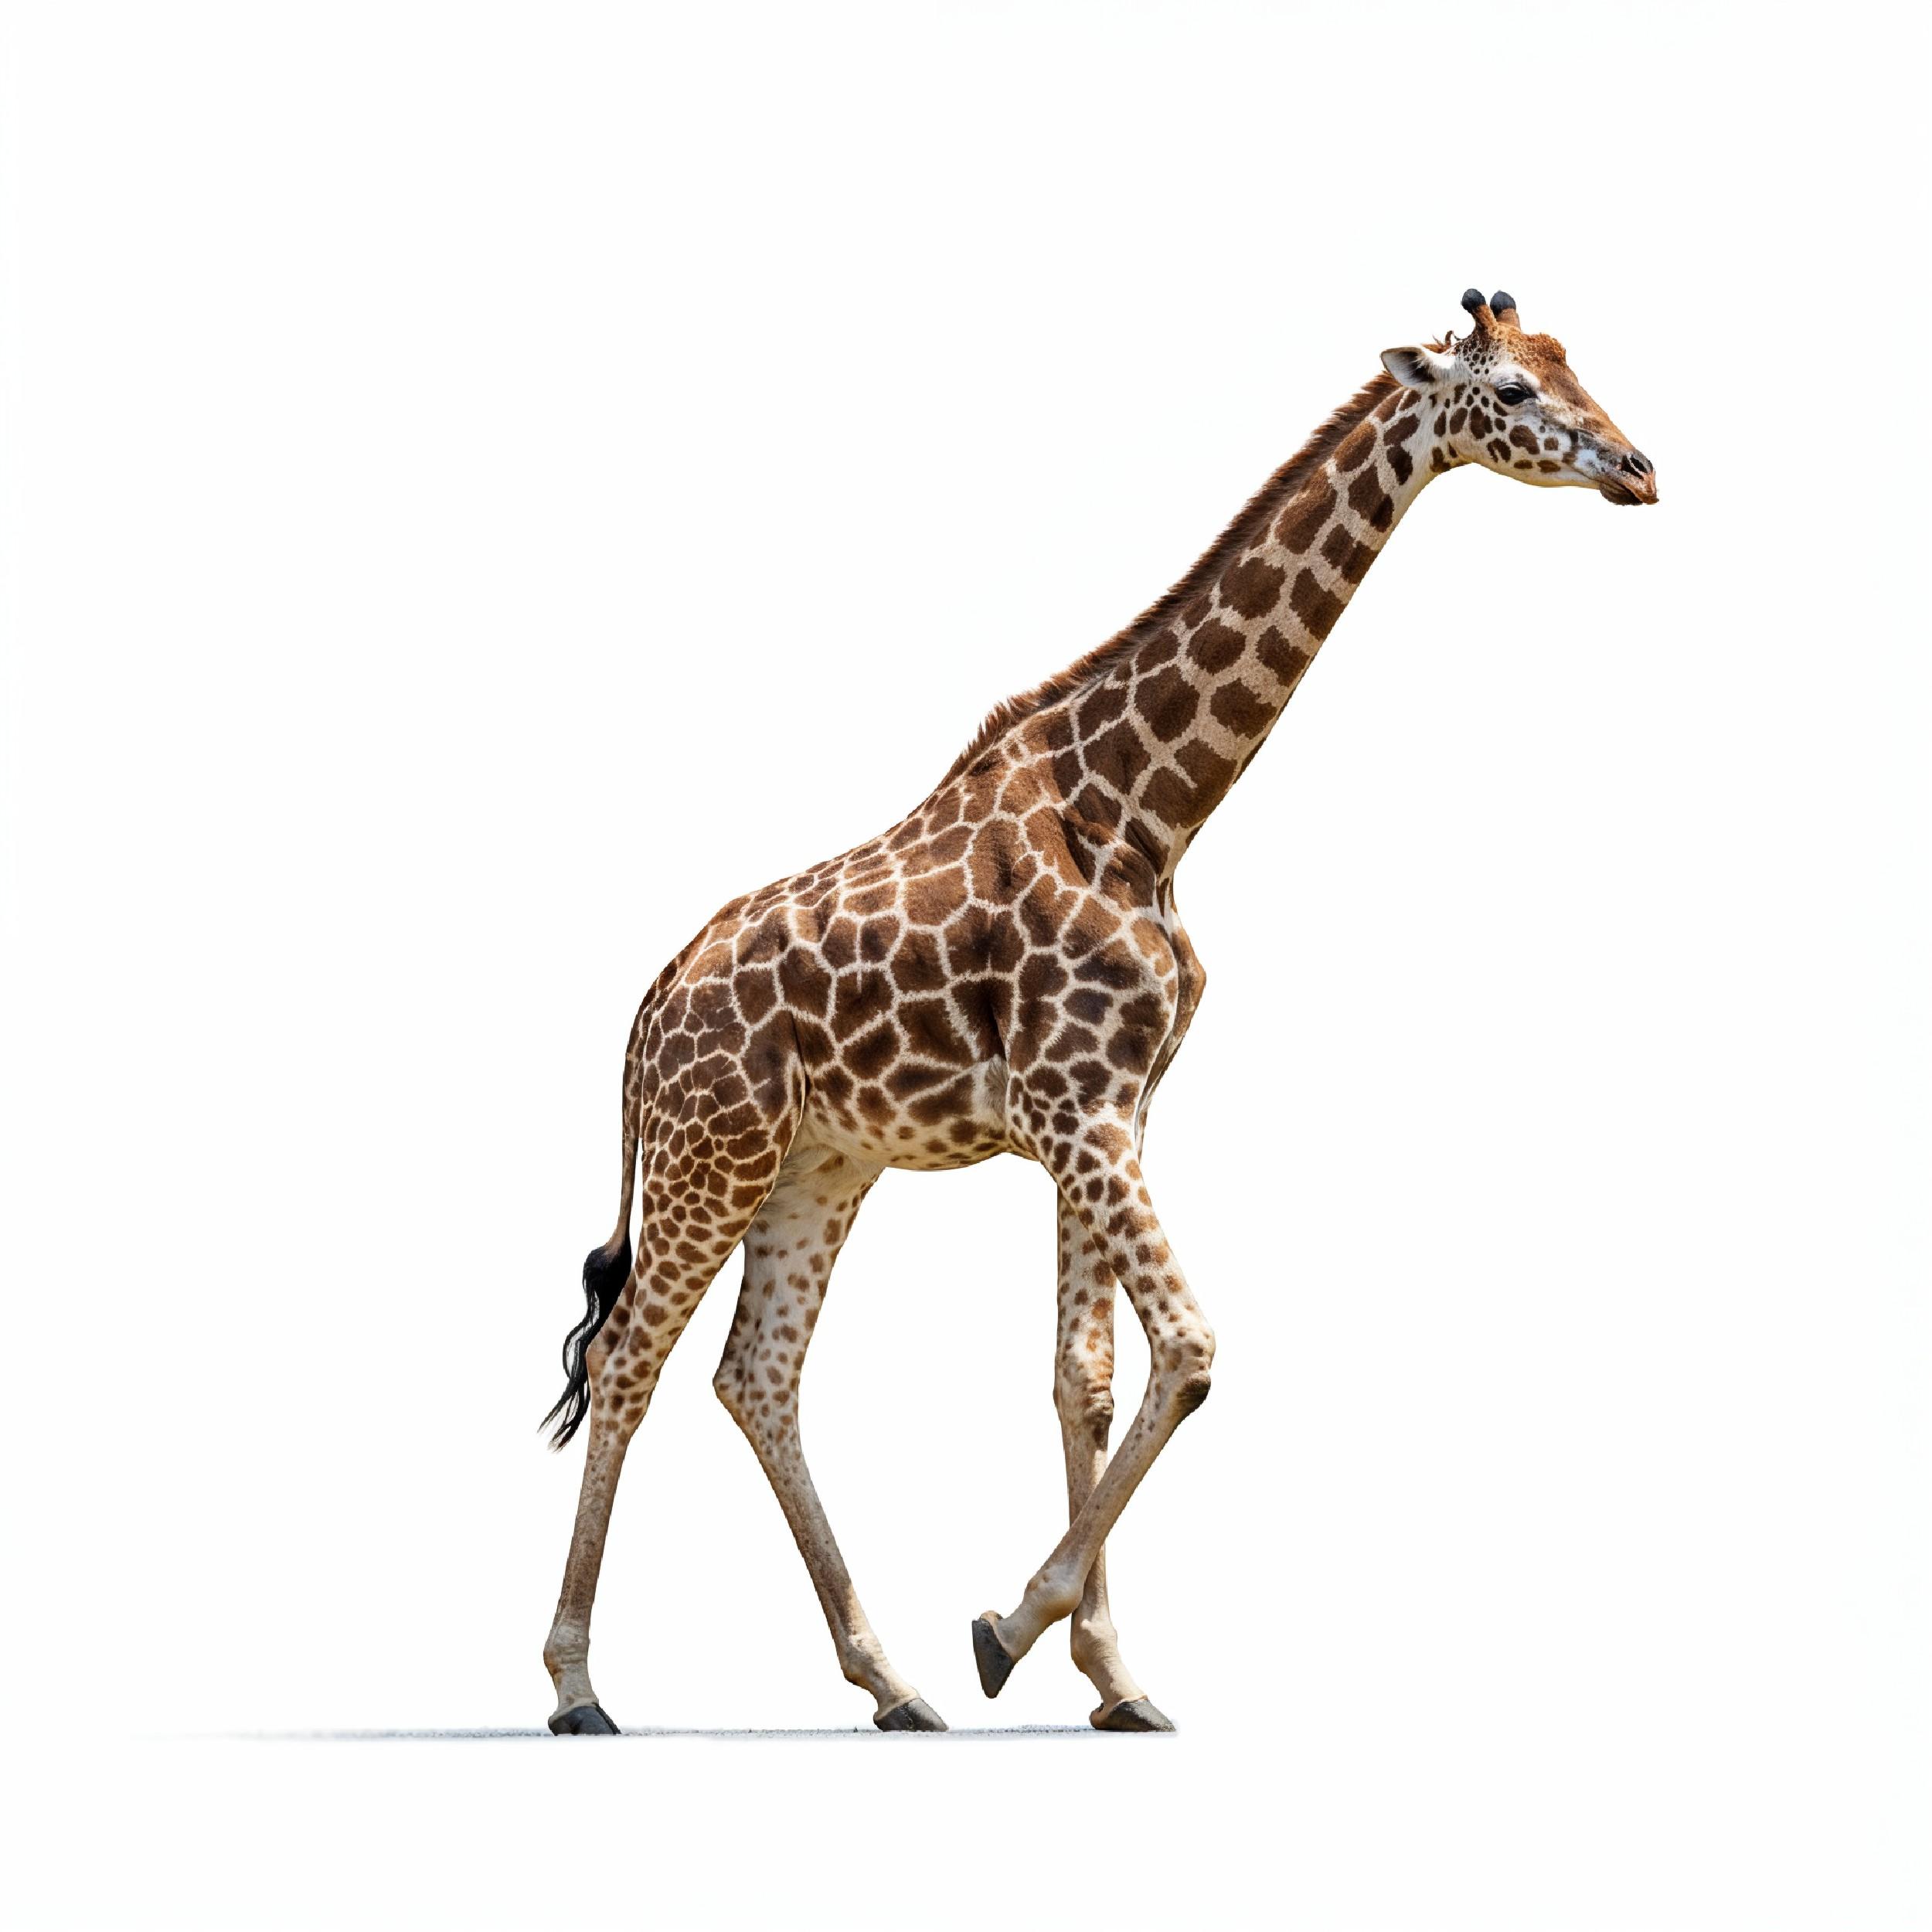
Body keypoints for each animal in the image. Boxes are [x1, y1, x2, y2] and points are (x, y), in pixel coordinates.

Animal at [541, 288, 1656, 1735]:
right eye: (1512, 392)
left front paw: (1113, 1679)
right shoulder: (1078, 1106)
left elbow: (1089, 1373)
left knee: (757, 1375)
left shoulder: (1116, 1107)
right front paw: (1011, 1629)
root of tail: (649, 1007)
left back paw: (890, 1682)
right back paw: (578, 1685)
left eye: (1575, 363)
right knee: (631, 1360)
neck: (1146, 811)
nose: (1640, 468)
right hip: (707, 1151)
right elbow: (1189, 1348)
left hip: (817, 1163)